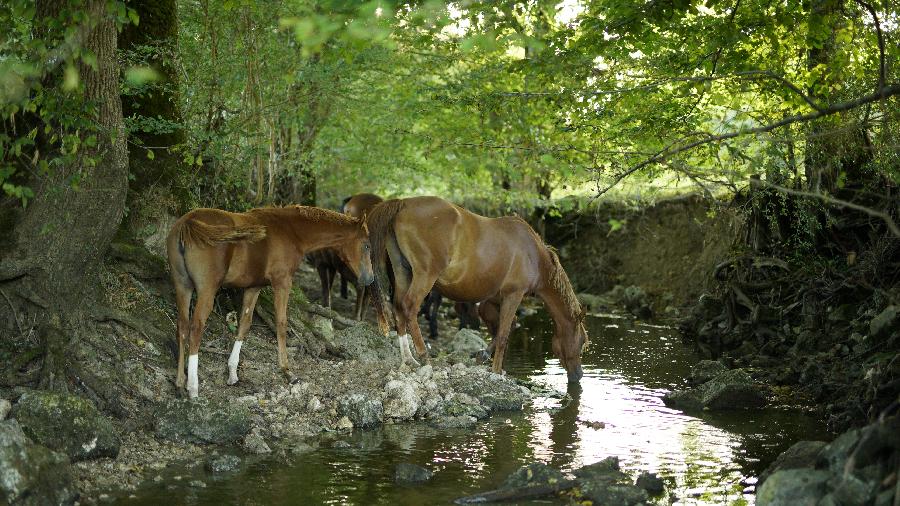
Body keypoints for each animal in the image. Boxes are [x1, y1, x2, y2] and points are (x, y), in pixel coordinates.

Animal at [167, 204, 374, 398]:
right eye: (366, 245)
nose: (370, 279)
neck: (291, 231)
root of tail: (188, 222)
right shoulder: (282, 282)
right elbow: (281, 323)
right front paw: (287, 371)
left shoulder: (253, 287)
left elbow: (244, 325)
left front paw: (233, 372)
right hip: (207, 290)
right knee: (195, 328)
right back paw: (193, 387)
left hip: (182, 286)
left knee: (182, 327)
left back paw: (179, 383)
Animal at [368, 196, 588, 382]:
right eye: (581, 342)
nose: (578, 374)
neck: (534, 256)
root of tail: (404, 202)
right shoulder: (513, 295)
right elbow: (503, 333)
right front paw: (496, 370)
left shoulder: (495, 299)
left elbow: (503, 327)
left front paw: (485, 357)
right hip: (424, 276)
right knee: (410, 307)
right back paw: (423, 356)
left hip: (403, 272)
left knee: (398, 308)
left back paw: (408, 359)